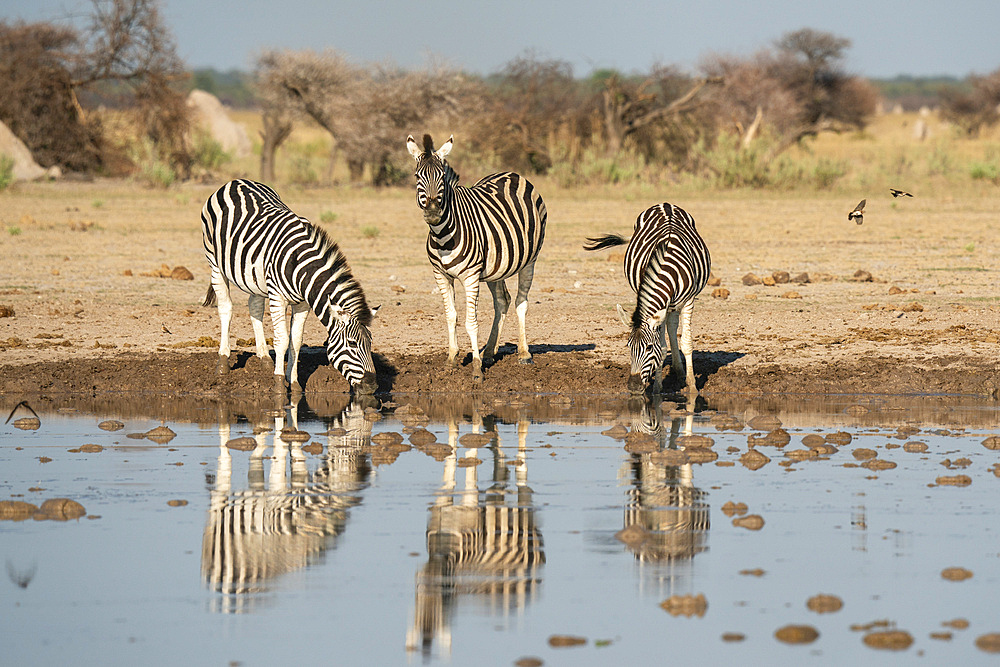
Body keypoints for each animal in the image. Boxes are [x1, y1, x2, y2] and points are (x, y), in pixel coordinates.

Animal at [200, 180, 378, 394]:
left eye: (370, 342)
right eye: (352, 344)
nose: (372, 385)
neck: (301, 267)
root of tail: (235, 181)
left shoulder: (303, 303)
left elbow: (296, 341)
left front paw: (294, 383)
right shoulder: (278, 297)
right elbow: (283, 340)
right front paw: (279, 385)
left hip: (255, 277)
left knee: (255, 306)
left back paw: (264, 358)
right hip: (215, 264)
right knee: (226, 308)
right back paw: (223, 362)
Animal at [404, 133, 548, 380]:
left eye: (441, 177)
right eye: (417, 176)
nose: (432, 212)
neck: (442, 235)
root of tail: (514, 174)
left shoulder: (471, 276)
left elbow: (471, 322)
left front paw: (476, 368)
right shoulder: (440, 275)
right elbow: (451, 316)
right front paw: (452, 359)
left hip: (530, 260)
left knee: (521, 302)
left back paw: (523, 353)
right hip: (497, 266)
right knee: (502, 301)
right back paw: (490, 351)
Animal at [584, 201, 716, 394]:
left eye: (648, 348)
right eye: (628, 346)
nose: (633, 386)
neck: (668, 267)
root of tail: (665, 204)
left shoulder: (689, 301)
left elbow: (686, 343)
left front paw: (692, 386)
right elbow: (663, 347)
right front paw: (657, 388)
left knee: (672, 326)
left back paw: (680, 371)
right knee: (670, 325)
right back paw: (677, 369)